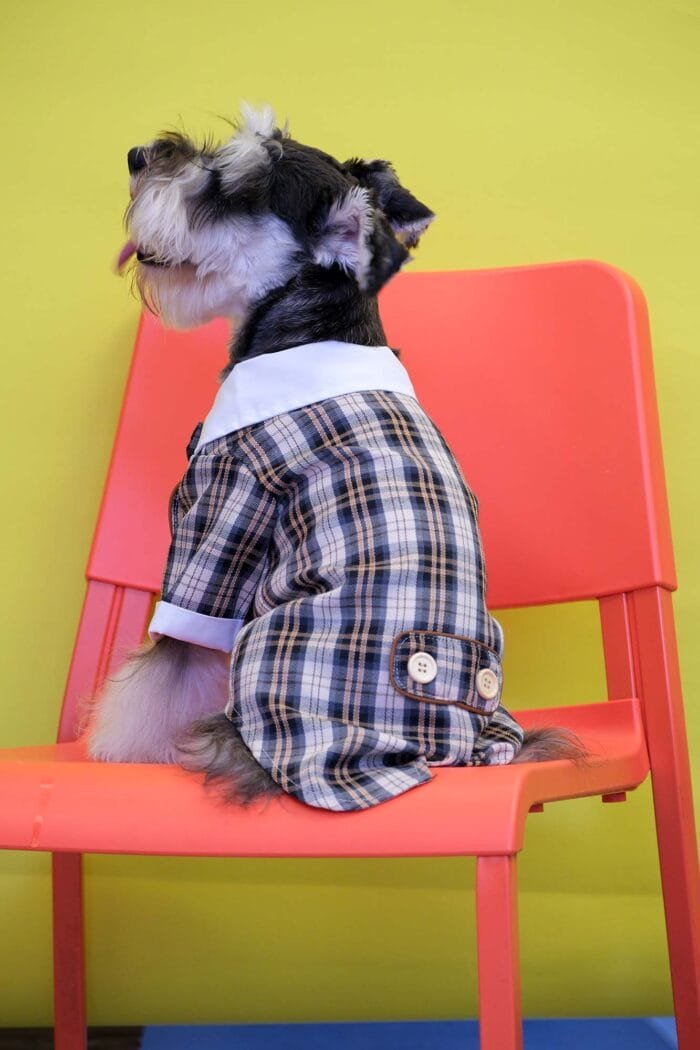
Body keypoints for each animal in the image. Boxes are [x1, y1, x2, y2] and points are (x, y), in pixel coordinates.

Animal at [85, 104, 583, 810]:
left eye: (230, 186)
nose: (136, 155)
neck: (316, 335)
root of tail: (438, 752)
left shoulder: (217, 519)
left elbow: (171, 658)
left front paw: (118, 744)